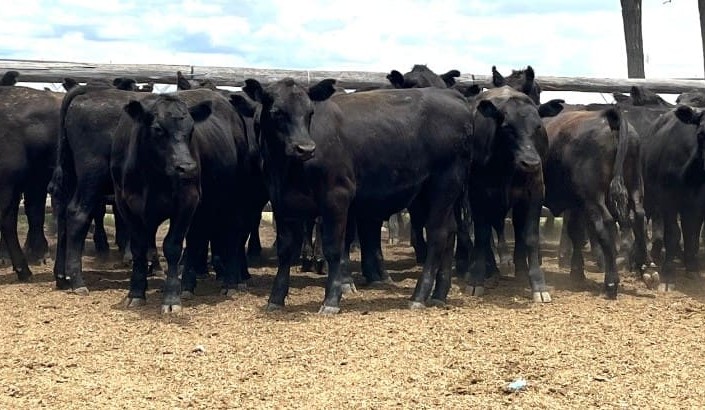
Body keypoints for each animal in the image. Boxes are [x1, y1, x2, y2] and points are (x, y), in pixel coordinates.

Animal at [112, 89, 250, 312]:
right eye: (157, 129)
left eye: (192, 129)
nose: (187, 167)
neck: (149, 176)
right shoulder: (125, 204)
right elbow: (139, 248)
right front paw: (136, 293)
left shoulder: (187, 199)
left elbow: (172, 246)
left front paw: (171, 299)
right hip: (204, 206)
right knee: (196, 240)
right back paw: (187, 286)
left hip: (234, 196)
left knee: (232, 234)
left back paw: (229, 283)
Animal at [231, 78, 473, 313]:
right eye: (276, 112)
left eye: (310, 112)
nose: (305, 148)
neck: (286, 171)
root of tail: (452, 95)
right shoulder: (282, 203)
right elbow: (285, 250)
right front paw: (276, 299)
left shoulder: (337, 197)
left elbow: (334, 248)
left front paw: (331, 299)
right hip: (426, 193)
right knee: (450, 231)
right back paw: (439, 295)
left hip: (444, 183)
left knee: (438, 234)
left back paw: (419, 296)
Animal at [543, 108, 640, 298]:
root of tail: (608, 115)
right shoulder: (575, 204)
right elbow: (576, 233)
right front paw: (577, 271)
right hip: (634, 186)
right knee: (638, 216)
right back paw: (647, 267)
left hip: (594, 197)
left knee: (606, 225)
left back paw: (611, 281)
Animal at [641, 105, 705, 291]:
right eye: (701, 133)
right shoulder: (668, 200)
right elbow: (673, 233)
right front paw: (669, 270)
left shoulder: (697, 204)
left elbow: (691, 234)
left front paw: (692, 268)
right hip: (649, 195)